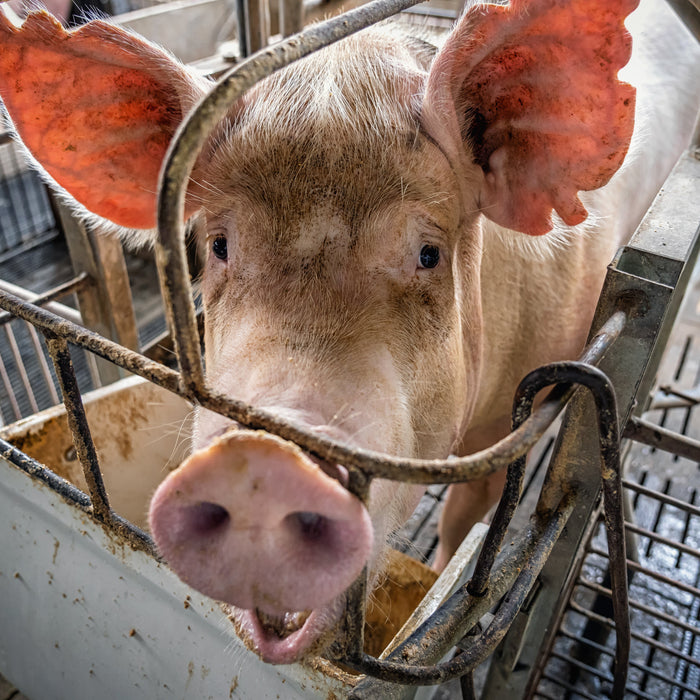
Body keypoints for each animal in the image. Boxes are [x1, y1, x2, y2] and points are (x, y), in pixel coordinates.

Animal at [1, 0, 698, 666]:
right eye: (219, 245)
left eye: (427, 255)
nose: (262, 462)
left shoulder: (511, 427)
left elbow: (462, 524)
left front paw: (441, 577)